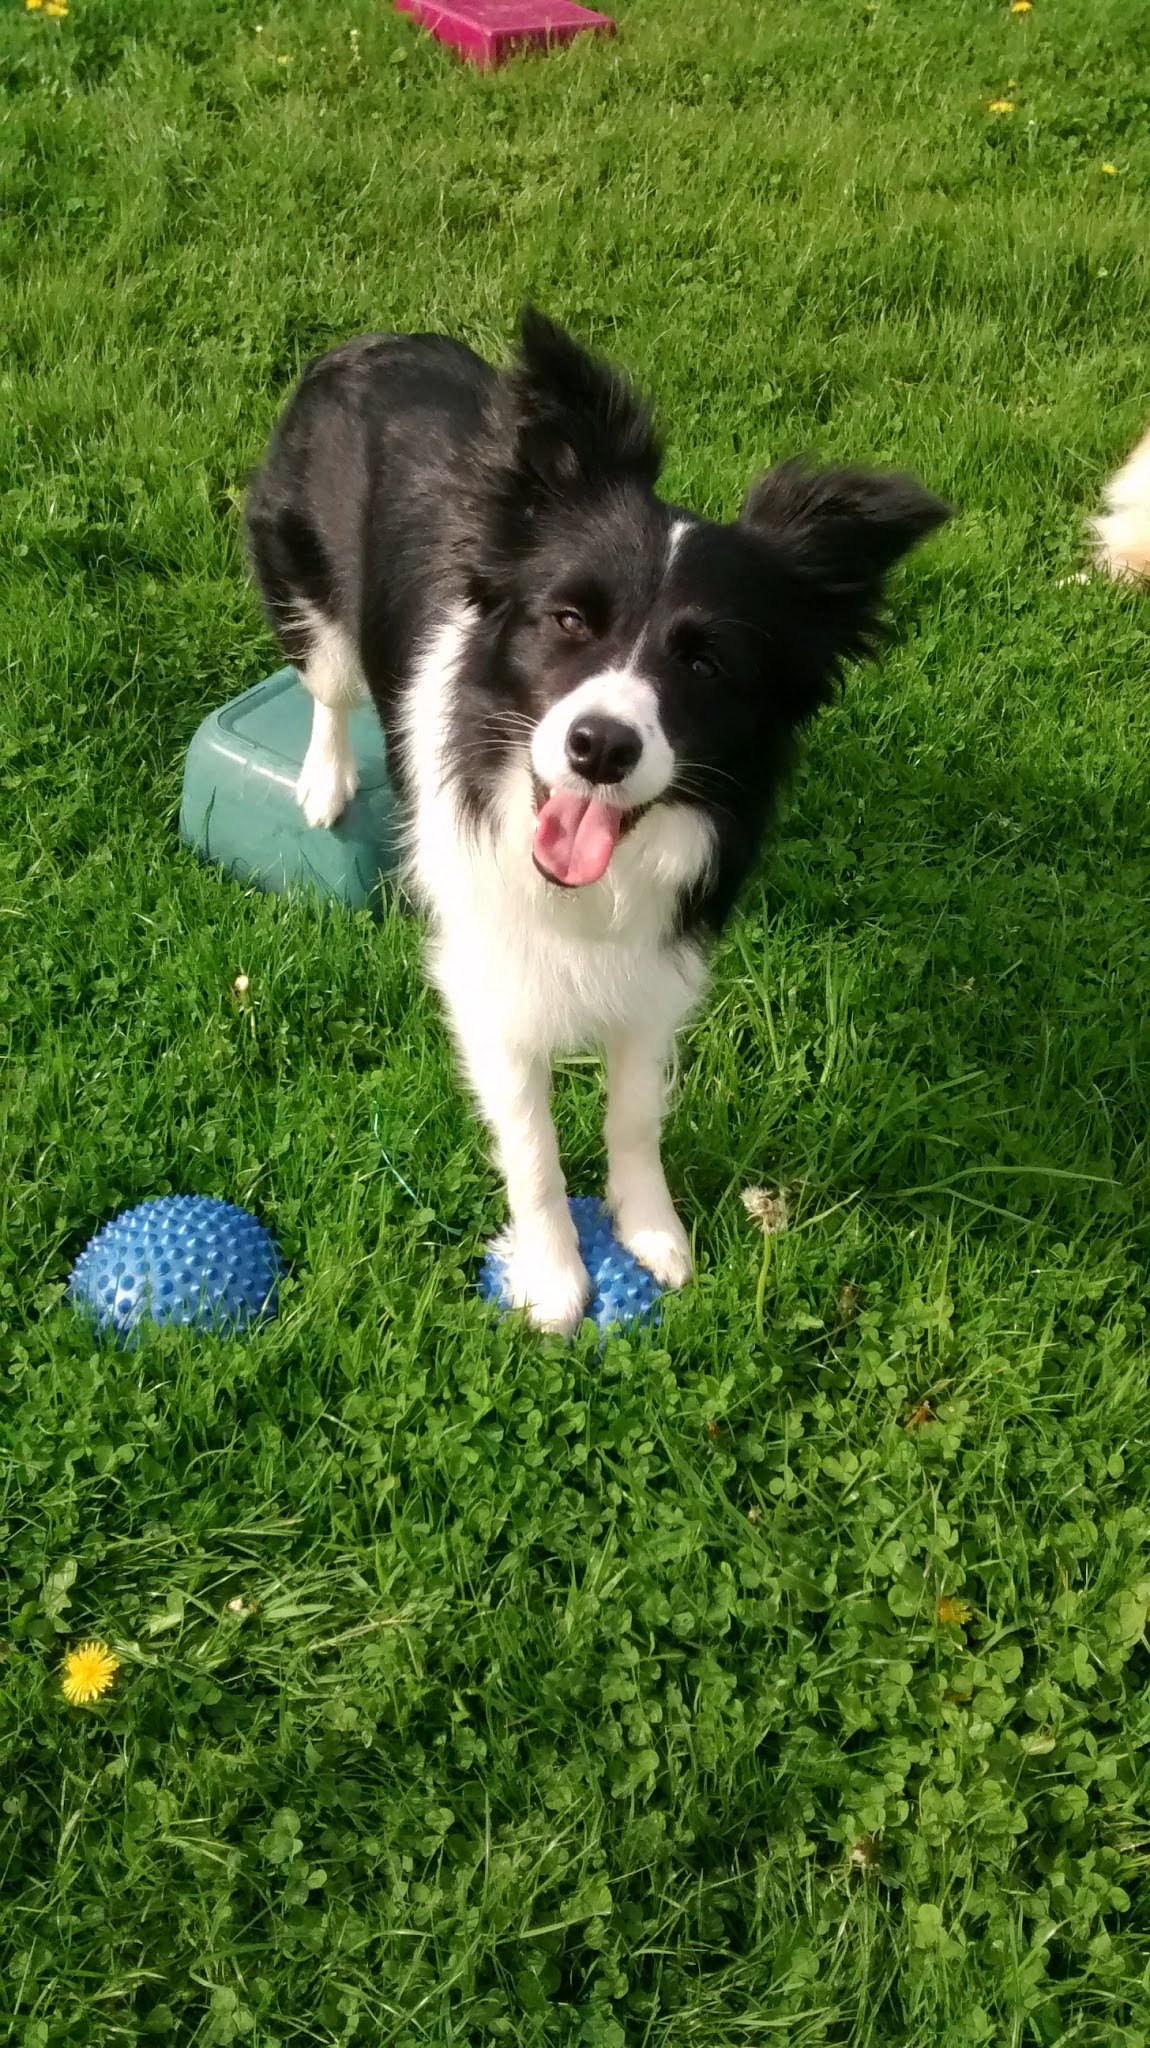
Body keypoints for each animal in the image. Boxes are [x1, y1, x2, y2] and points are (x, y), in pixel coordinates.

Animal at [245, 310, 948, 1333]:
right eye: (570, 620)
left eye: (705, 665)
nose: (601, 747)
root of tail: (372, 341)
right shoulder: (490, 982)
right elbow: (533, 1142)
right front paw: (552, 1276)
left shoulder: (660, 968)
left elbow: (635, 1111)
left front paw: (651, 1230)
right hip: (309, 590)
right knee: (328, 687)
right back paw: (325, 780)